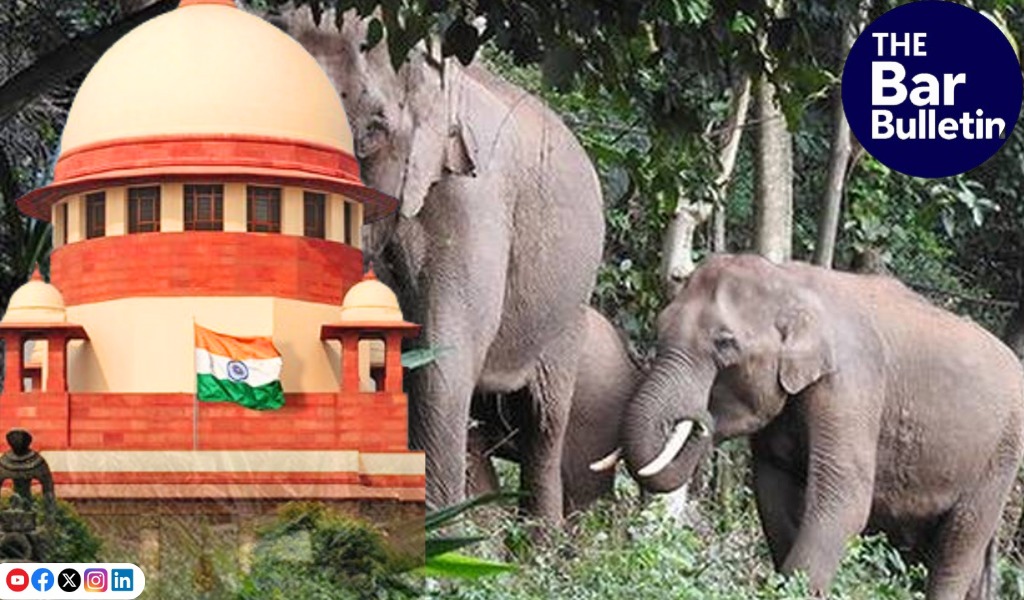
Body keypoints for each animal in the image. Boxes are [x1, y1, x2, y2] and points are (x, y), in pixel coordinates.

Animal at [596, 254, 1024, 600]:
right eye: (660, 324)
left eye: (725, 343)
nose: (700, 420)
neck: (791, 281)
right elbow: (773, 489)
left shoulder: (852, 382)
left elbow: (844, 498)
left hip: (1001, 456)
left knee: (957, 544)